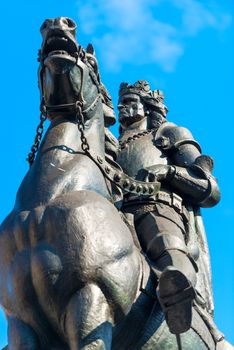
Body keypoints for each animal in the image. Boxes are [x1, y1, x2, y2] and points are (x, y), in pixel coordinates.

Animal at [0, 17, 231, 350]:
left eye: (92, 60)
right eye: (40, 53)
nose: (58, 25)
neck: (49, 199)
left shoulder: (92, 298)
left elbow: (210, 186)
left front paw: (158, 172)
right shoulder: (21, 322)